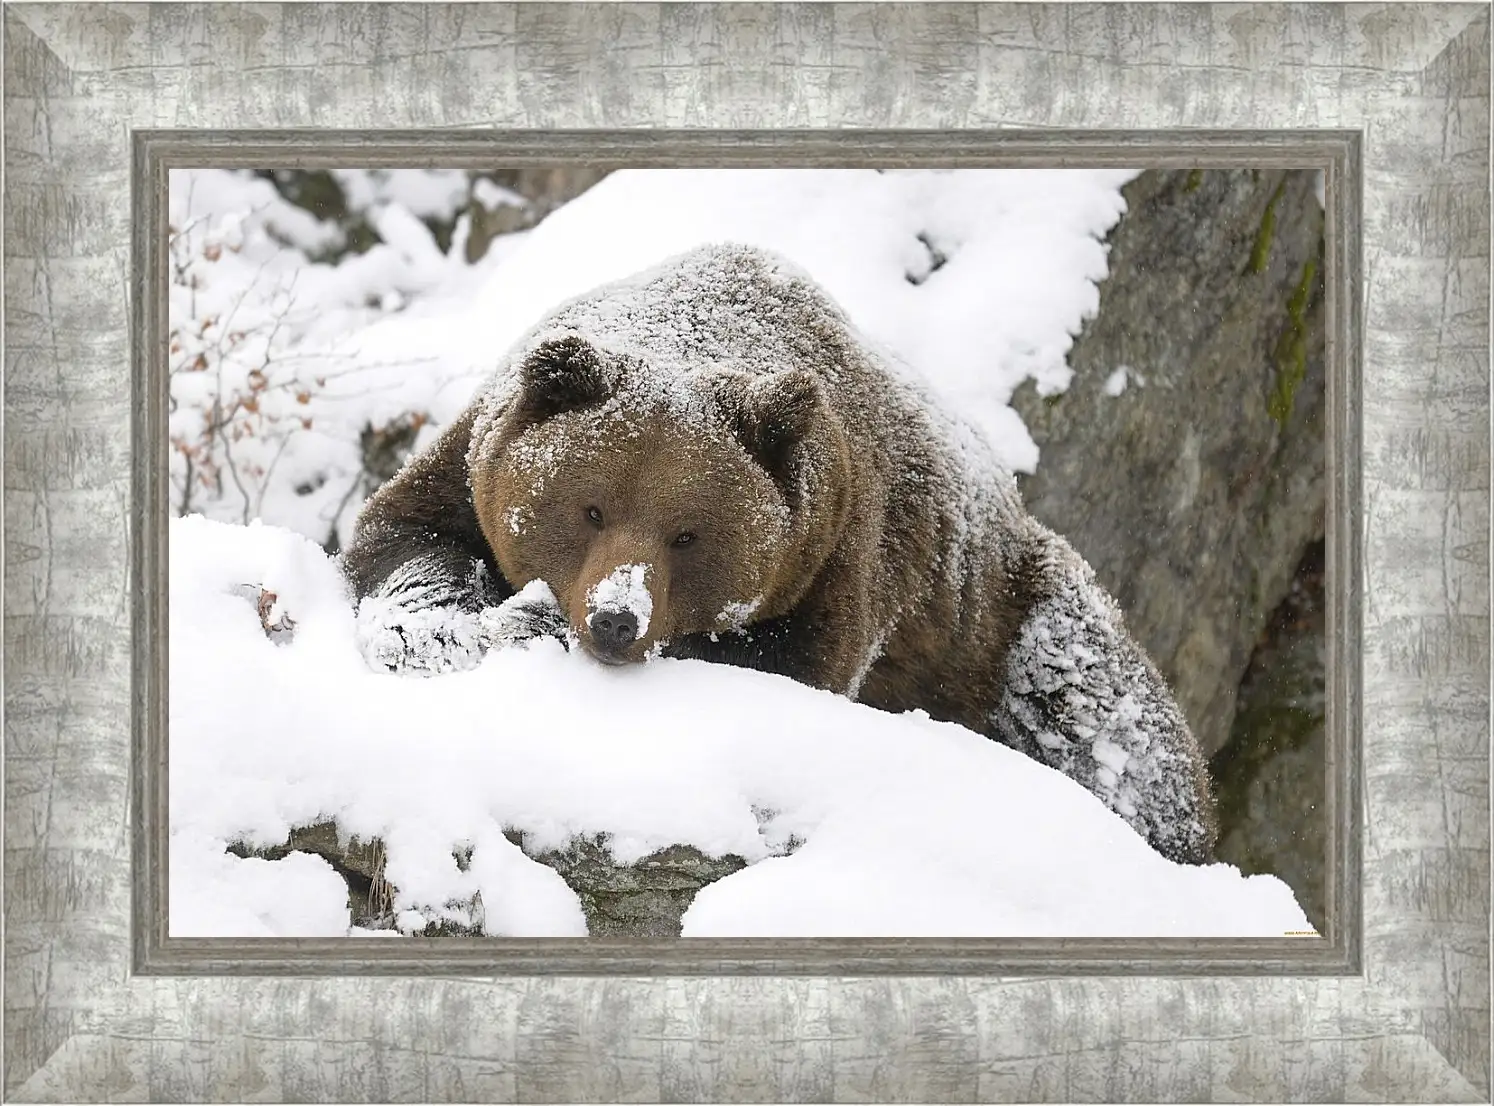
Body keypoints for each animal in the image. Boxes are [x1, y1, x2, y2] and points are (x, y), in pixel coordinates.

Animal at [343, 242, 1219, 866]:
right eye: (590, 508)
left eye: (688, 533)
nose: (616, 619)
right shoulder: (471, 462)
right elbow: (406, 537)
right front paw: (439, 628)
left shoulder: (840, 553)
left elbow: (784, 663)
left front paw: (532, 625)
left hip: (1007, 622)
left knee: (1109, 727)